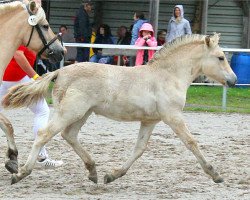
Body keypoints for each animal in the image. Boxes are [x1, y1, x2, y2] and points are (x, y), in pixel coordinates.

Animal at [0, 0, 64, 174]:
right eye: (45, 26)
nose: (62, 51)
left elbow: (8, 125)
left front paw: (12, 159)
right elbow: (8, 125)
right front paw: (12, 157)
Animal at [3, 33, 237, 184]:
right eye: (220, 57)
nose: (234, 81)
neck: (167, 75)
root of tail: (60, 72)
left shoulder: (150, 121)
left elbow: (139, 148)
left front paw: (112, 175)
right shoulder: (173, 116)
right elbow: (191, 142)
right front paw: (215, 174)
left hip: (82, 114)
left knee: (69, 135)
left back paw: (93, 171)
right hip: (70, 112)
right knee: (44, 134)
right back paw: (20, 173)